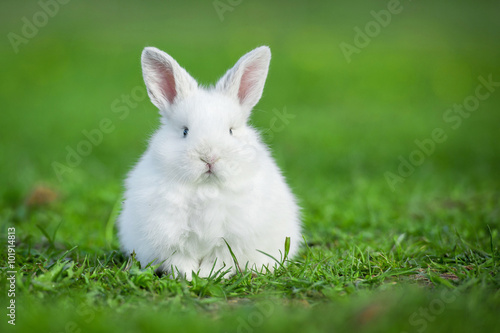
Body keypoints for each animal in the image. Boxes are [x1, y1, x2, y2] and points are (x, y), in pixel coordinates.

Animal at [118, 45, 300, 278]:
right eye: (185, 131)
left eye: (231, 131)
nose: (209, 157)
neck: (206, 188)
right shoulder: (169, 235)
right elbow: (180, 258)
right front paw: (188, 276)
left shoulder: (232, 238)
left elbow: (220, 259)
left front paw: (206, 275)